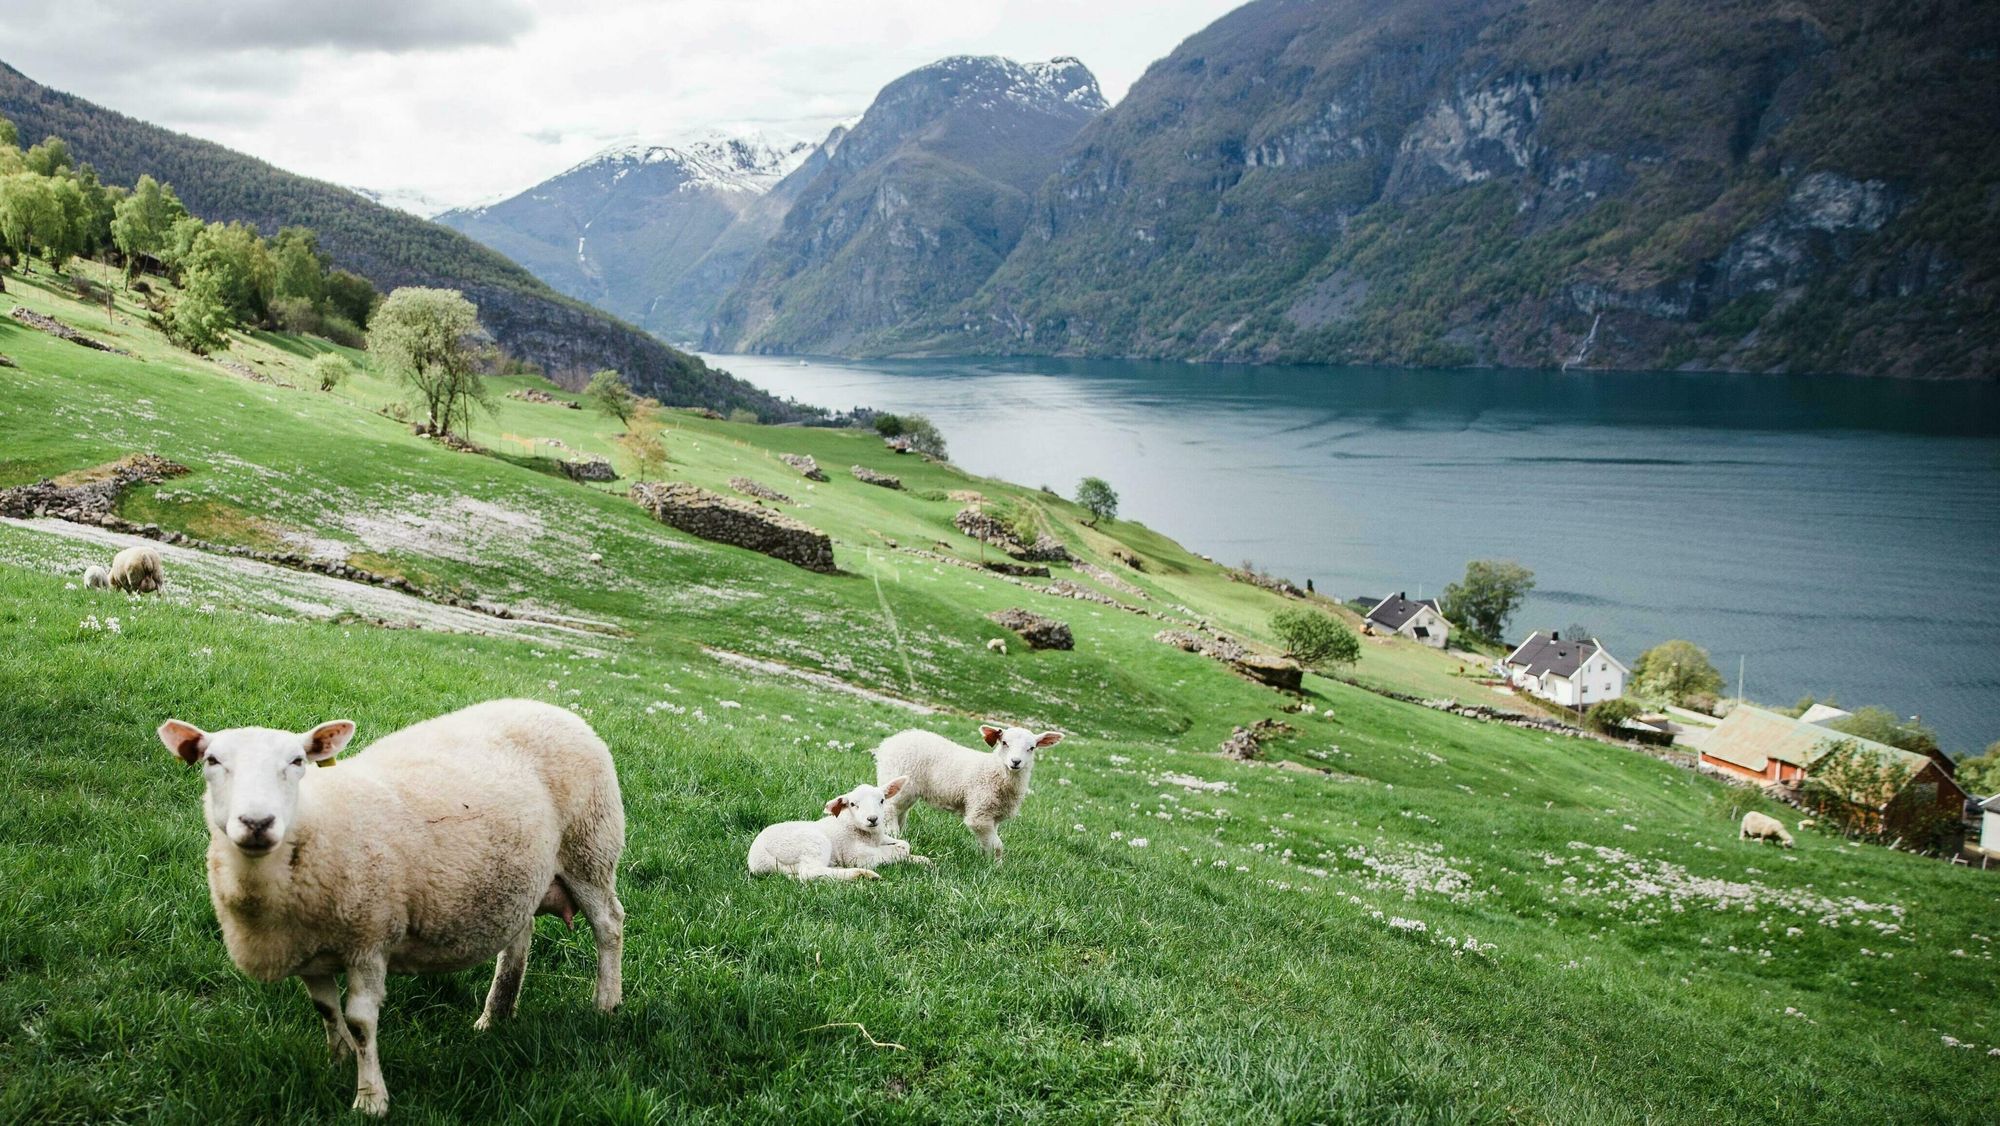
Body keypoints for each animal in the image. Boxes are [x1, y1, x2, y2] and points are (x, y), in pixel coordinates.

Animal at [157, 700, 624, 1112]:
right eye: (212, 760)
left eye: (297, 761)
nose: (257, 823)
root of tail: (556, 709)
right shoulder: (307, 950)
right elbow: (326, 1010)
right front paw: (338, 1059)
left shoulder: (369, 939)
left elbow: (361, 1023)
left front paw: (370, 1098)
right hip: (520, 873)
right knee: (518, 939)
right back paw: (495, 1015)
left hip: (590, 849)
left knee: (609, 925)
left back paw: (605, 1005)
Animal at [748, 780, 932, 884]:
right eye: (852, 804)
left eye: (882, 800)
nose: (872, 819)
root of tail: (757, 860)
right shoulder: (857, 855)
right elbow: (897, 850)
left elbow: (904, 843)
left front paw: (921, 860)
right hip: (813, 842)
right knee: (809, 872)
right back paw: (862, 875)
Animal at [872, 728, 1064, 860]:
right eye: (1004, 743)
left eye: (1032, 748)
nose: (1015, 762)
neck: (996, 771)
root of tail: (888, 742)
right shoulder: (980, 813)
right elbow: (997, 846)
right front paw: (997, 866)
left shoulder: (993, 816)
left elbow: (990, 843)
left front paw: (988, 862)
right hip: (898, 776)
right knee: (889, 809)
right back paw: (894, 834)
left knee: (899, 811)